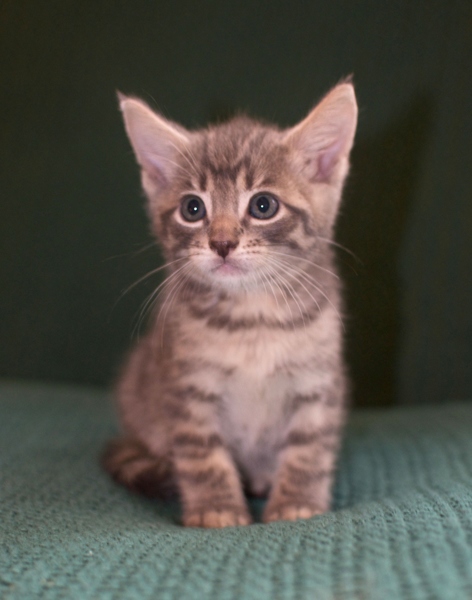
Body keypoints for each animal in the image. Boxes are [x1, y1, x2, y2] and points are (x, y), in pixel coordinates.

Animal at [104, 82, 358, 528]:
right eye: (192, 208)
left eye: (263, 205)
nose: (221, 243)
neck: (252, 317)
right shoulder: (186, 386)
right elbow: (201, 453)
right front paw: (216, 509)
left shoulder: (318, 381)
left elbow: (309, 448)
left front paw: (297, 503)